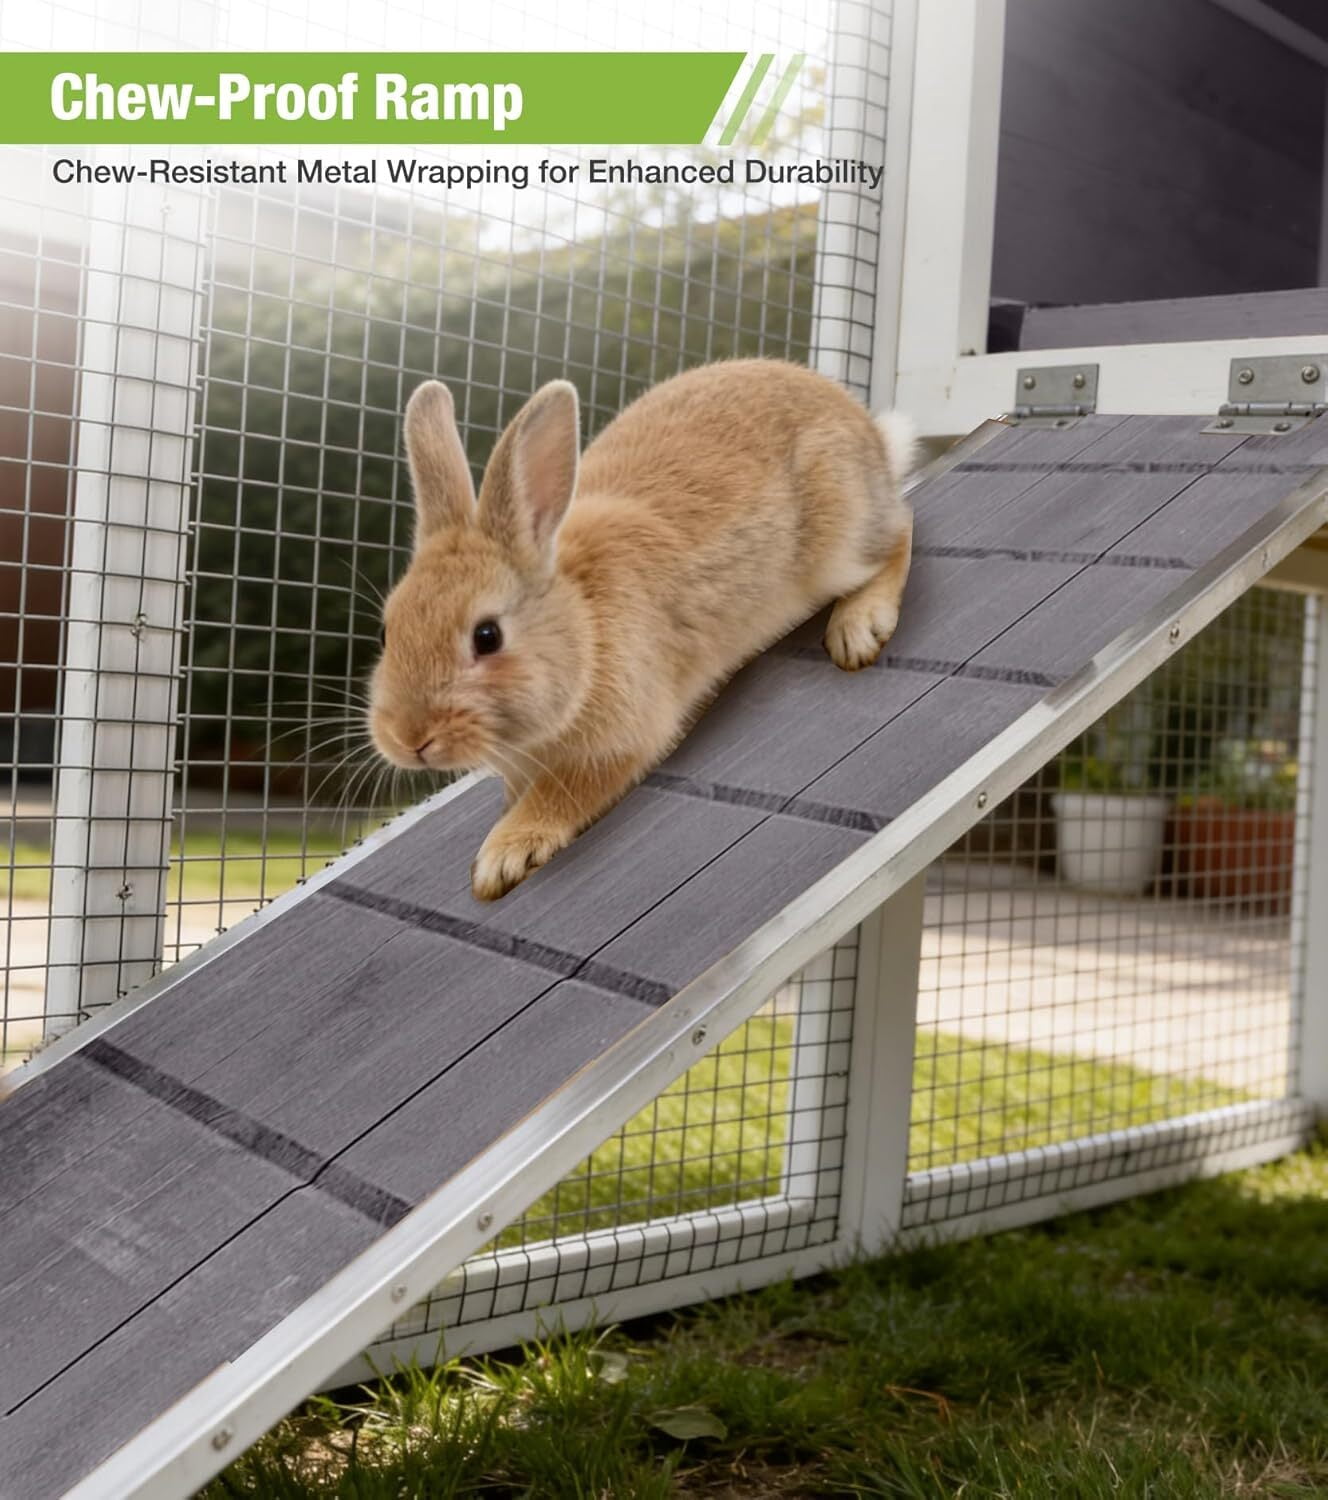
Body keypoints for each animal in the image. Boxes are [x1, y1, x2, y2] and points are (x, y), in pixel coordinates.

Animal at [370, 358, 915, 901]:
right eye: (386, 633)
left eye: (487, 636)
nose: (408, 738)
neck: (584, 631)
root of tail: (865, 428)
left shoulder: (618, 740)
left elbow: (561, 796)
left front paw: (502, 857)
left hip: (838, 542)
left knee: (901, 530)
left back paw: (858, 628)